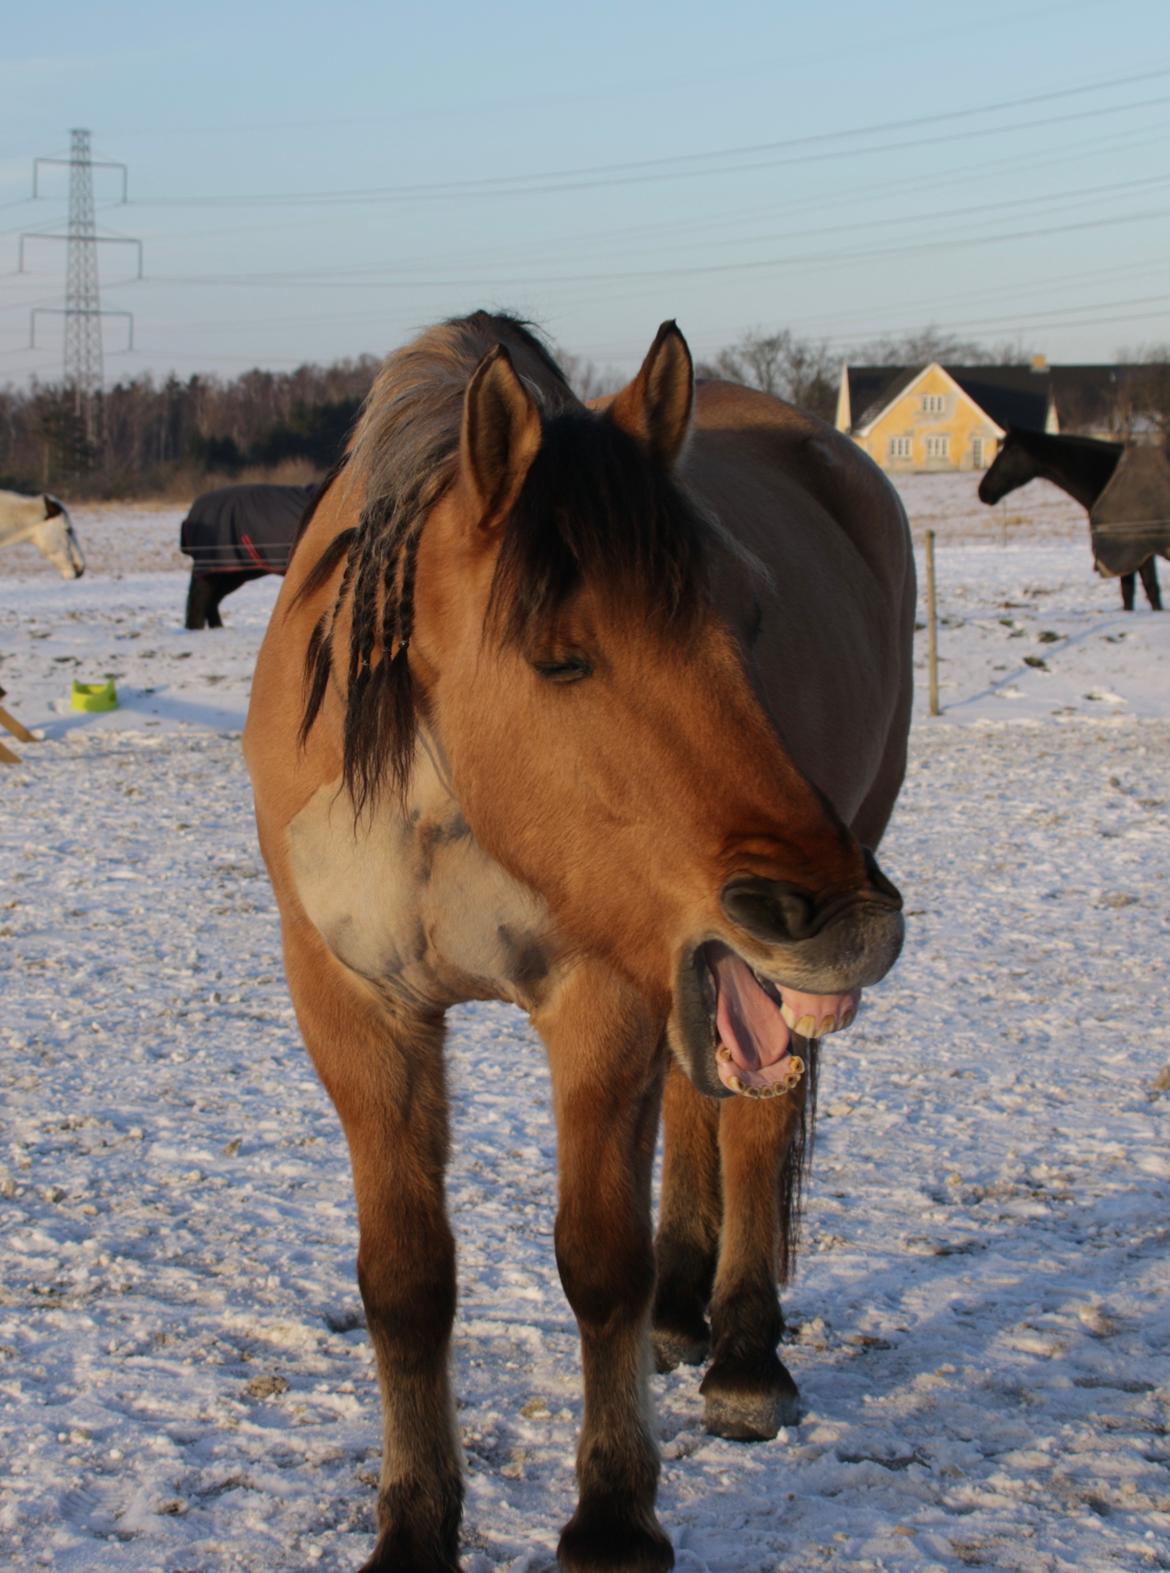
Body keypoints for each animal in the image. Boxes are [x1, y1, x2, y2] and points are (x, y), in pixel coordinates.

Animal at [240, 309, 912, 1573]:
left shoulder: (598, 1002)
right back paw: (683, 1311)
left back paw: (743, 1354)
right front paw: (414, 1527)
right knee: (707, 1094)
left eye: (751, 616)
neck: (441, 787)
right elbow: (405, 1282)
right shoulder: (356, 1012)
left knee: (752, 1126)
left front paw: (612, 1516)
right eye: (559, 656)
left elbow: (599, 1265)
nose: (847, 920)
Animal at [981, 427, 1163, 610]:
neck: (1108, 477)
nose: (983, 490)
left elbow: (1149, 590)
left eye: (1011, 451)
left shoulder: (1133, 551)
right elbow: (1131, 593)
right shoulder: (1130, 554)